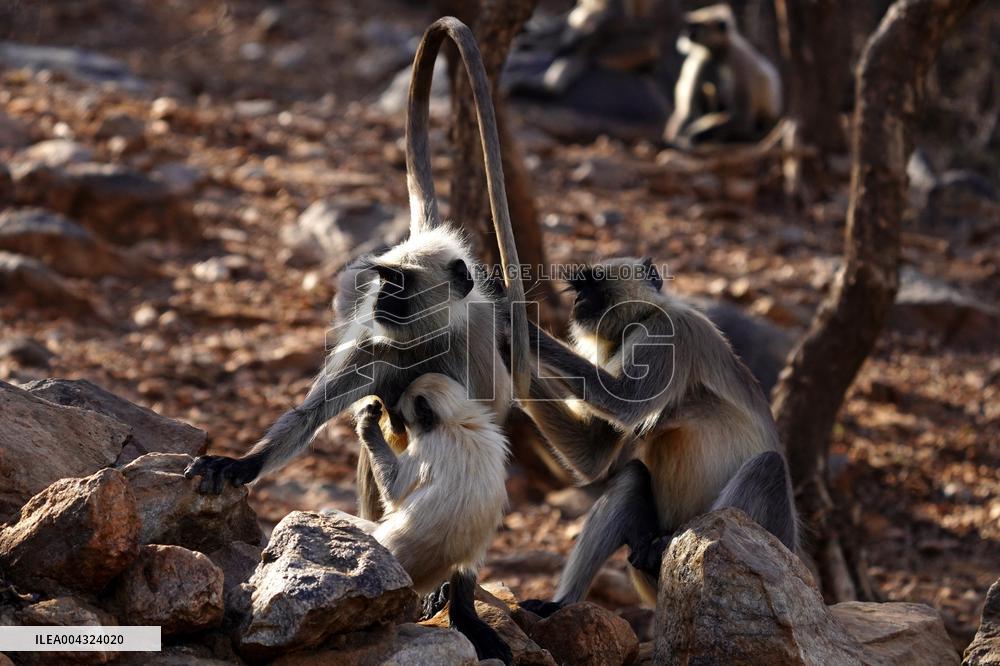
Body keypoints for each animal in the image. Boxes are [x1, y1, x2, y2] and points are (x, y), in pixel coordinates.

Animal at [353, 373, 511, 663]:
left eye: (400, 415)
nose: (394, 423)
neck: (455, 423)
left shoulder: (426, 445)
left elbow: (393, 493)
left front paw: (367, 424)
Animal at [515, 257, 796, 614]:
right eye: (578, 288)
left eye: (593, 285)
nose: (577, 302)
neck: (640, 320)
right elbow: (592, 456)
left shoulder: (669, 331)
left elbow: (622, 401)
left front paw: (506, 316)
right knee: (631, 477)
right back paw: (560, 604)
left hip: (769, 545)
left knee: (767, 466)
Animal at [663, 4, 781, 147]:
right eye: (688, 26)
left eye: (695, 26)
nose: (685, 34)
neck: (718, 53)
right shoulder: (701, 60)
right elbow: (687, 112)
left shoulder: (738, 61)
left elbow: (742, 117)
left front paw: (693, 135)